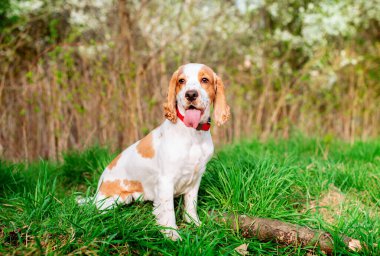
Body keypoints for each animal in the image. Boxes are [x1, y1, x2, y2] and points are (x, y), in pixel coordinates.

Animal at [91, 63, 230, 239]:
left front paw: (195, 224)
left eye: (204, 79)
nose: (191, 94)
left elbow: (191, 204)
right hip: (116, 199)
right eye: (181, 80)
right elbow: (168, 210)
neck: (193, 134)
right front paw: (172, 234)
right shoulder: (166, 180)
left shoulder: (196, 178)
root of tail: (97, 190)